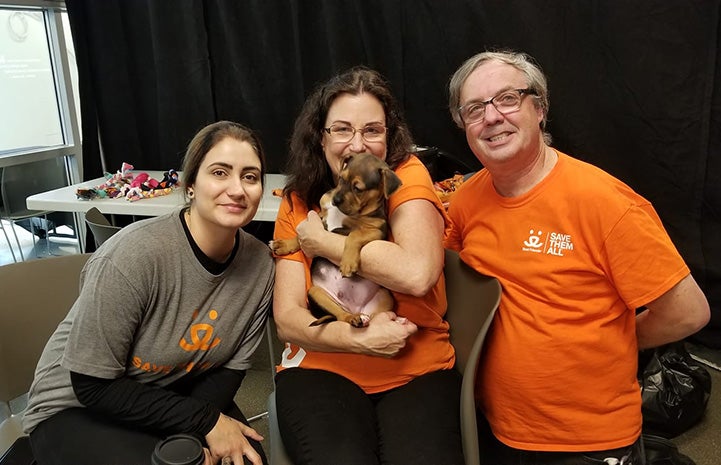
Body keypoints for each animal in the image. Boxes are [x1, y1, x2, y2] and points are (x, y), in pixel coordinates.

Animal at [272, 153, 402, 326]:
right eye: (341, 178)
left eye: (358, 188)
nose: (336, 200)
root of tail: (354, 308)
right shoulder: (321, 217)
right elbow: (298, 237)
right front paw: (283, 245)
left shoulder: (376, 230)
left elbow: (354, 235)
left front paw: (348, 263)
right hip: (315, 292)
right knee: (341, 316)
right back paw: (354, 318)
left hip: (385, 295)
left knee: (374, 318)